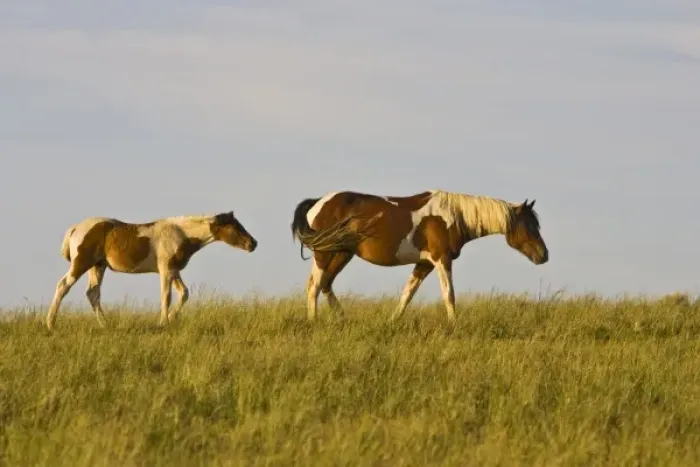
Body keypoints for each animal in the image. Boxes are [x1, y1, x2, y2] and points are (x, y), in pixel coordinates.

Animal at [46, 211, 257, 330]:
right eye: (234, 227)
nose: (253, 244)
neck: (181, 234)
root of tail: (75, 228)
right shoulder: (165, 270)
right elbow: (166, 296)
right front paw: (163, 323)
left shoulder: (174, 270)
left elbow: (184, 293)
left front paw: (171, 318)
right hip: (81, 263)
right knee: (63, 285)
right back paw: (50, 324)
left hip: (98, 266)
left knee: (93, 294)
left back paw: (106, 325)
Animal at [290, 189, 548, 323]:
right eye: (529, 226)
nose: (543, 255)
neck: (451, 217)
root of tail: (318, 202)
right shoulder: (441, 259)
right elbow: (449, 295)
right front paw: (454, 325)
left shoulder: (424, 264)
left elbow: (407, 295)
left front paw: (393, 322)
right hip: (325, 253)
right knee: (314, 285)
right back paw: (313, 321)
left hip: (342, 253)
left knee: (326, 284)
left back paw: (343, 318)